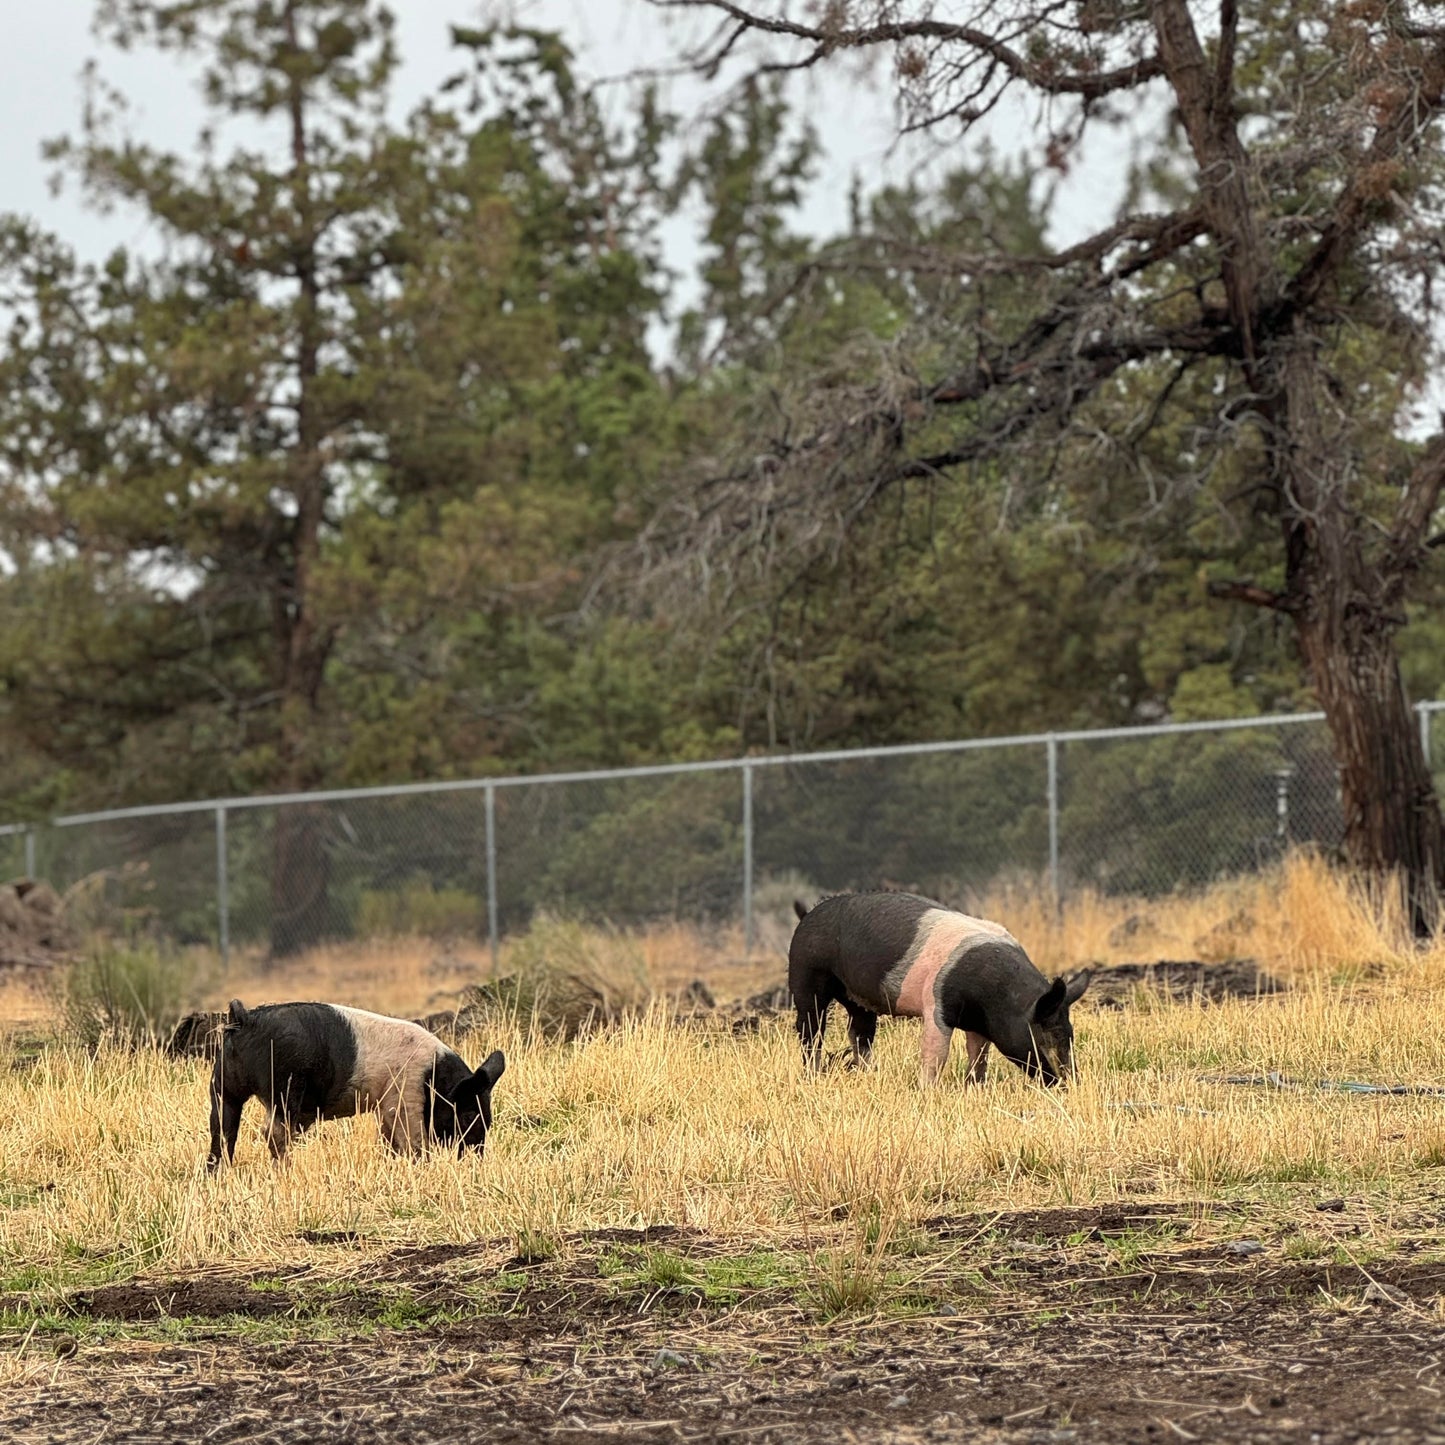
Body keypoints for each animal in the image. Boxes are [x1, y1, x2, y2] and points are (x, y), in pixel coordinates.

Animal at [206, 999, 505, 1167]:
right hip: (284, 1088)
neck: (433, 1076)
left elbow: (389, 1138)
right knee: (272, 1131)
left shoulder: (385, 1105)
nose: (476, 1157)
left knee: (223, 1128)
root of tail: (246, 1019)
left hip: (223, 1084)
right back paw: (288, 1169)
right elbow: (412, 1139)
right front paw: (420, 1166)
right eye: (468, 1114)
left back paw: (219, 1173)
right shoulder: (404, 1095)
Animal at [791, 890, 1086, 1086]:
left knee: (859, 1033)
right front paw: (927, 1090)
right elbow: (936, 1053)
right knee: (811, 1030)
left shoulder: (978, 1024)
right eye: (1047, 1033)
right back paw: (813, 1076)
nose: (1070, 1083)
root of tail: (807, 915)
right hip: (806, 975)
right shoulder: (936, 1005)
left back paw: (867, 1073)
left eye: (1070, 1033)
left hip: (858, 999)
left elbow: (978, 1053)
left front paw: (975, 1086)